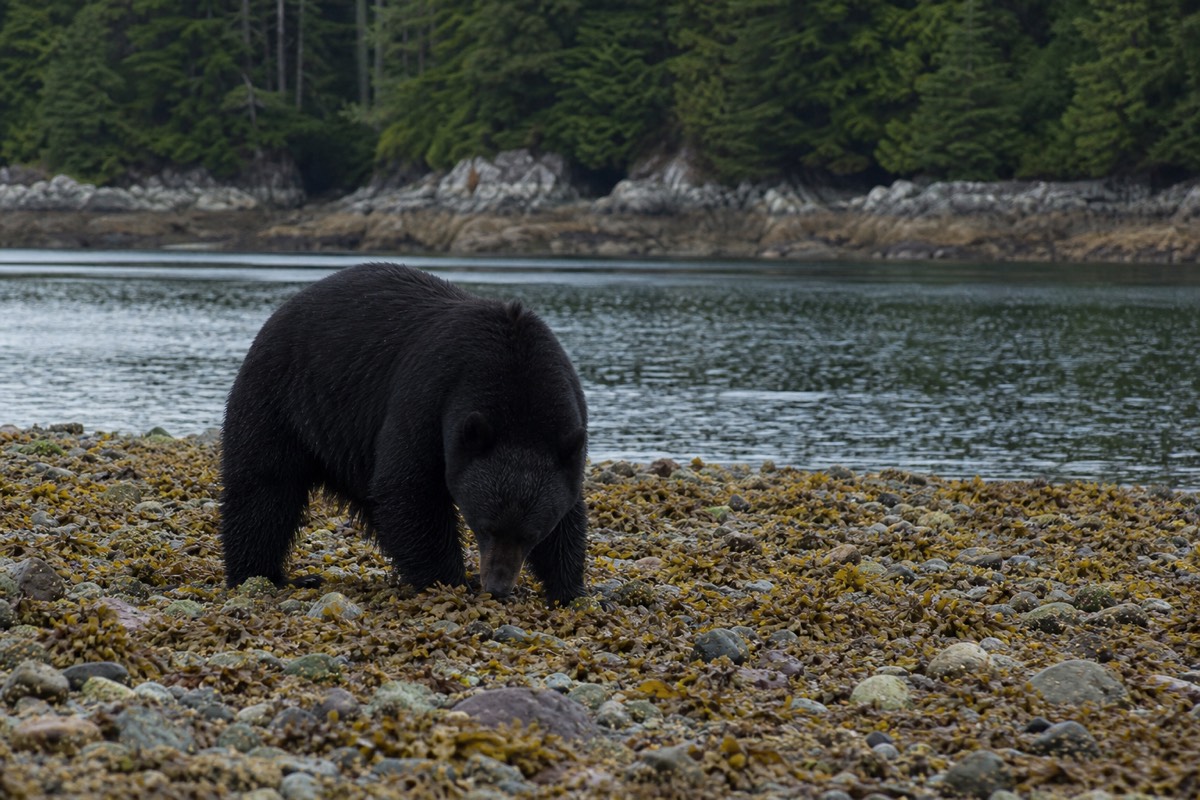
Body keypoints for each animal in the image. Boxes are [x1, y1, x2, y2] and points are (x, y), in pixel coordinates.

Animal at [219, 263, 588, 605]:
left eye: (531, 535)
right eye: (485, 527)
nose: (497, 587)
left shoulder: (565, 432)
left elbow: (570, 515)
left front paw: (568, 590)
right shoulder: (431, 397)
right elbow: (410, 486)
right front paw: (452, 581)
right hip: (281, 398)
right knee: (264, 488)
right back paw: (264, 575)